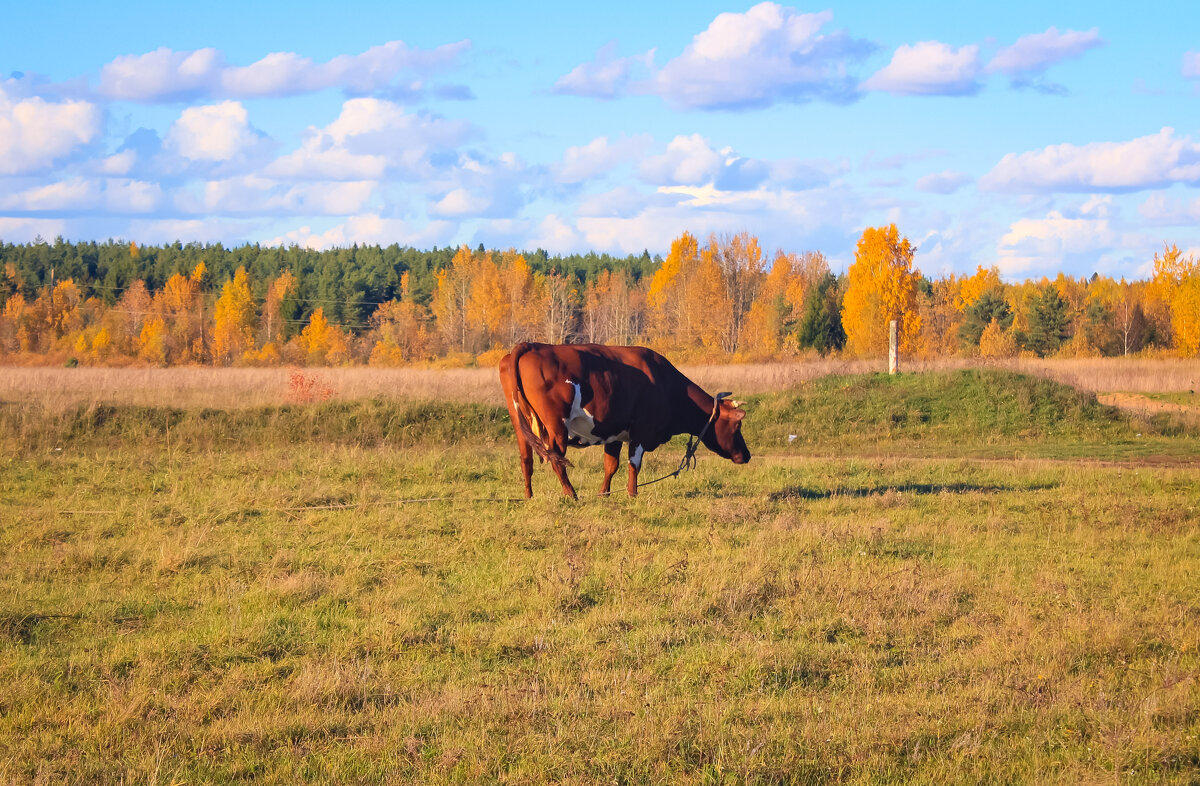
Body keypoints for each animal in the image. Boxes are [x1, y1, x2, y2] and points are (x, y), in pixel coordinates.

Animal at [499, 338, 748, 499]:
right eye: (737, 425)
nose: (747, 455)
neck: (664, 383)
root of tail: (531, 346)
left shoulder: (614, 433)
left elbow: (611, 465)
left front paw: (604, 494)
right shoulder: (641, 431)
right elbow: (633, 464)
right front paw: (632, 493)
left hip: (520, 423)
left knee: (526, 459)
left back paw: (528, 495)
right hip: (556, 427)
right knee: (556, 459)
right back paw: (571, 494)